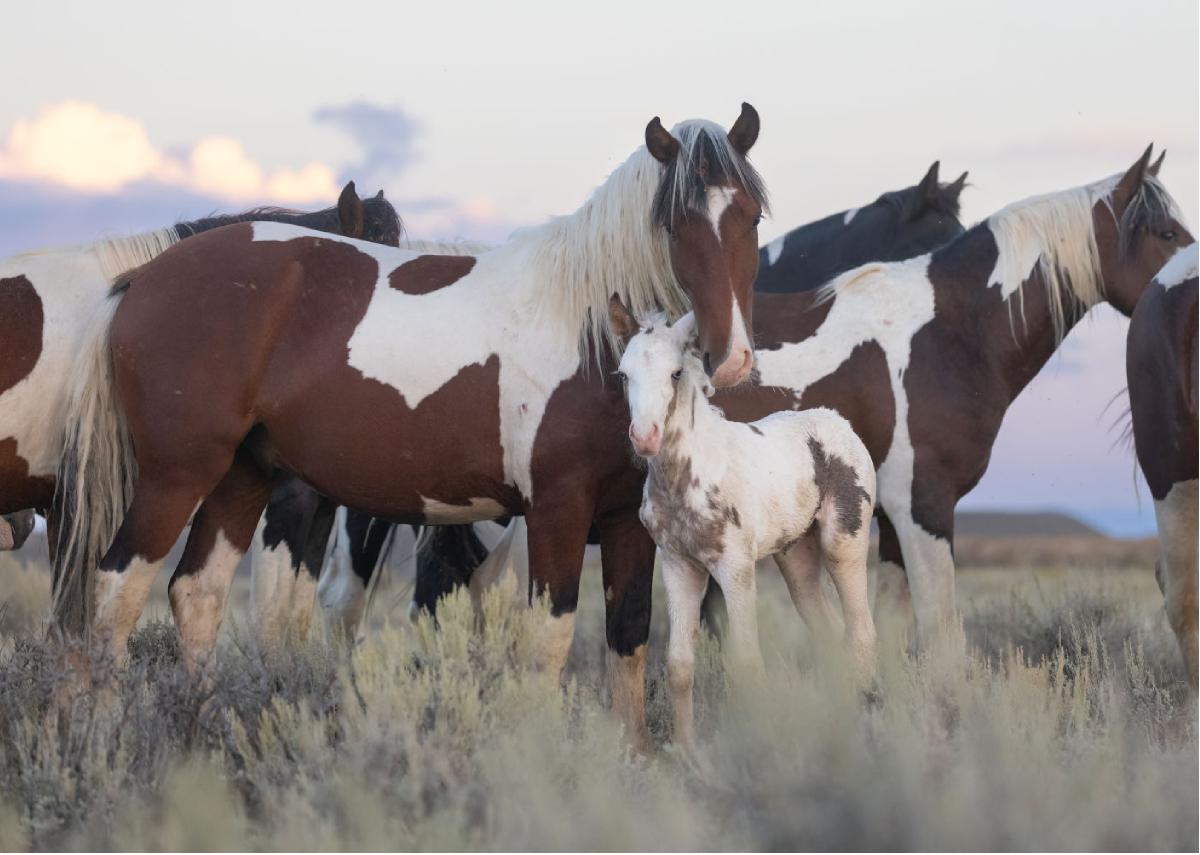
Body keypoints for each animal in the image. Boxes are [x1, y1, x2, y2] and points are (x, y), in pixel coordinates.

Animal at [54, 106, 768, 749]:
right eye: (675, 223)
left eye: (751, 216)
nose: (731, 358)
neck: (588, 330)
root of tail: (144, 277)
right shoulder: (557, 510)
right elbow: (550, 638)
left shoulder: (624, 518)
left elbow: (629, 636)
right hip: (177, 475)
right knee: (115, 592)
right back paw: (101, 744)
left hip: (243, 475)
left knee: (196, 595)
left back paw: (203, 737)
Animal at [614, 302, 878, 754]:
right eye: (623, 374)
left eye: (675, 373)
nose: (645, 437)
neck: (689, 475)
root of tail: (838, 423)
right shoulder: (678, 566)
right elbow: (680, 664)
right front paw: (687, 750)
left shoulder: (735, 568)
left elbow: (747, 662)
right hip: (796, 558)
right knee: (829, 633)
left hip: (845, 542)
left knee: (861, 632)